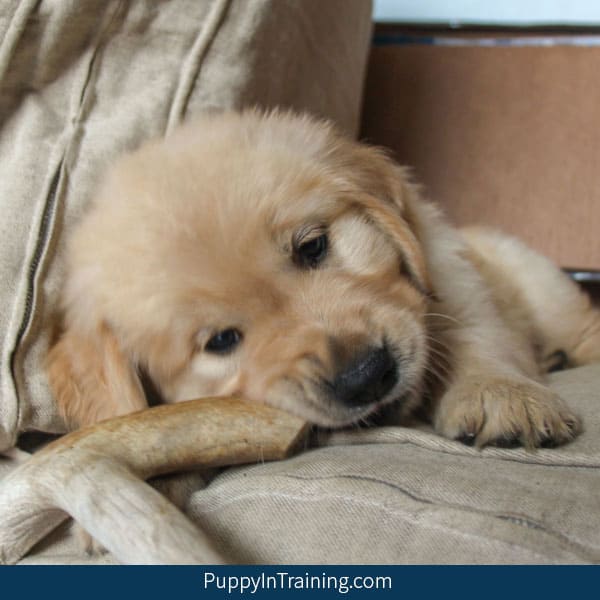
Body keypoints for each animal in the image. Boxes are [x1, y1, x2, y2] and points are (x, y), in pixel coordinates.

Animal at [45, 109, 600, 446]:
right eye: (221, 341)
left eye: (312, 246)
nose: (365, 375)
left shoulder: (454, 276)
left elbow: (478, 333)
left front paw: (502, 396)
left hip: (533, 278)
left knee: (578, 322)